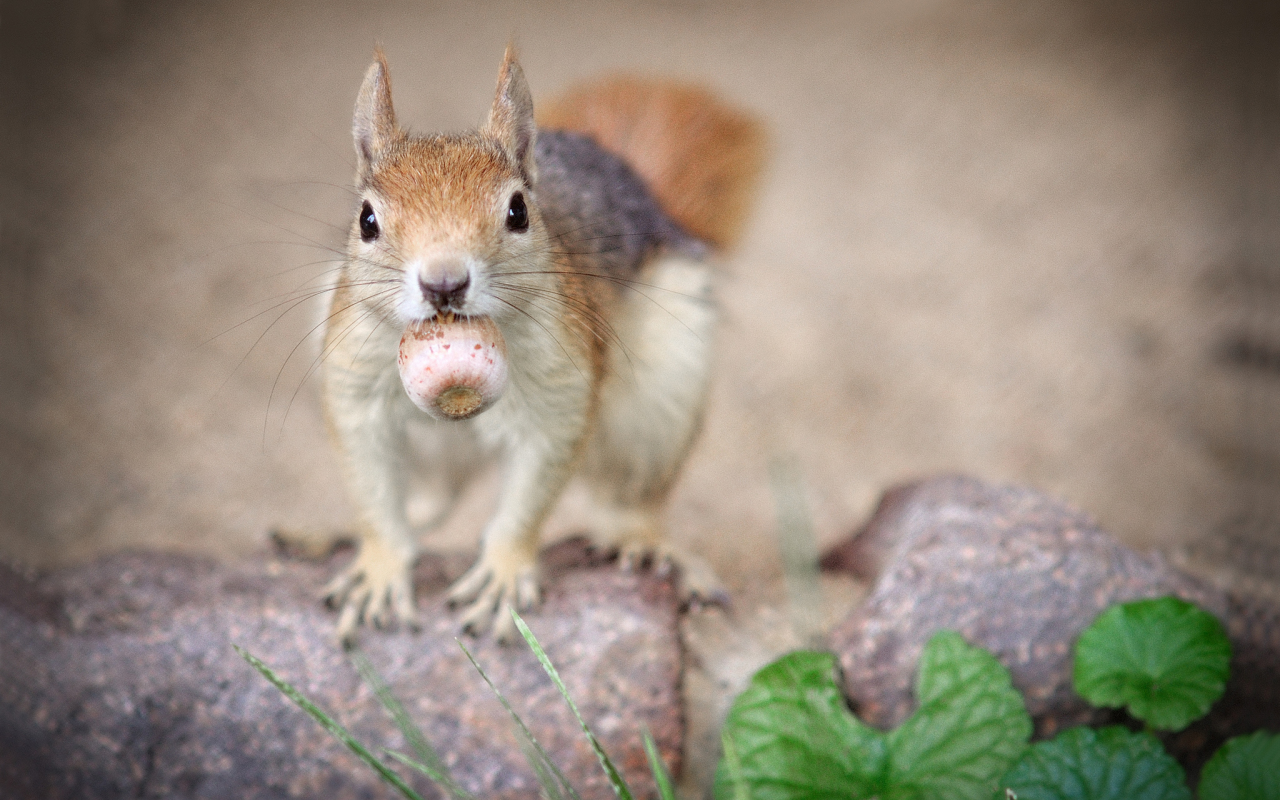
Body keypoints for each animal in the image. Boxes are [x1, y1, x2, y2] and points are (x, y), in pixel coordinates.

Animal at [318, 45, 762, 642]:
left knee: (628, 501)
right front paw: (379, 568)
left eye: (518, 212)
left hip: (661, 402)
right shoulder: (356, 381)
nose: (443, 283)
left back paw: (648, 546)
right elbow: (369, 482)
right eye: (367, 220)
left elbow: (535, 484)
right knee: (436, 496)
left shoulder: (562, 383)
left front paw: (503, 573)